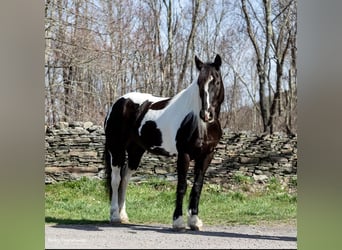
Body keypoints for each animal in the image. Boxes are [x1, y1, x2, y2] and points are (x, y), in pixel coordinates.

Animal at [103, 54, 224, 230]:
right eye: (199, 83)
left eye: (217, 82)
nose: (206, 114)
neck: (200, 124)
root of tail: (119, 102)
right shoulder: (184, 155)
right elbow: (182, 186)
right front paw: (178, 221)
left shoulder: (206, 155)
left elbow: (197, 187)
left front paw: (194, 221)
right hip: (116, 148)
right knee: (115, 179)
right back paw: (115, 216)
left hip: (135, 151)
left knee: (124, 180)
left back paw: (123, 215)